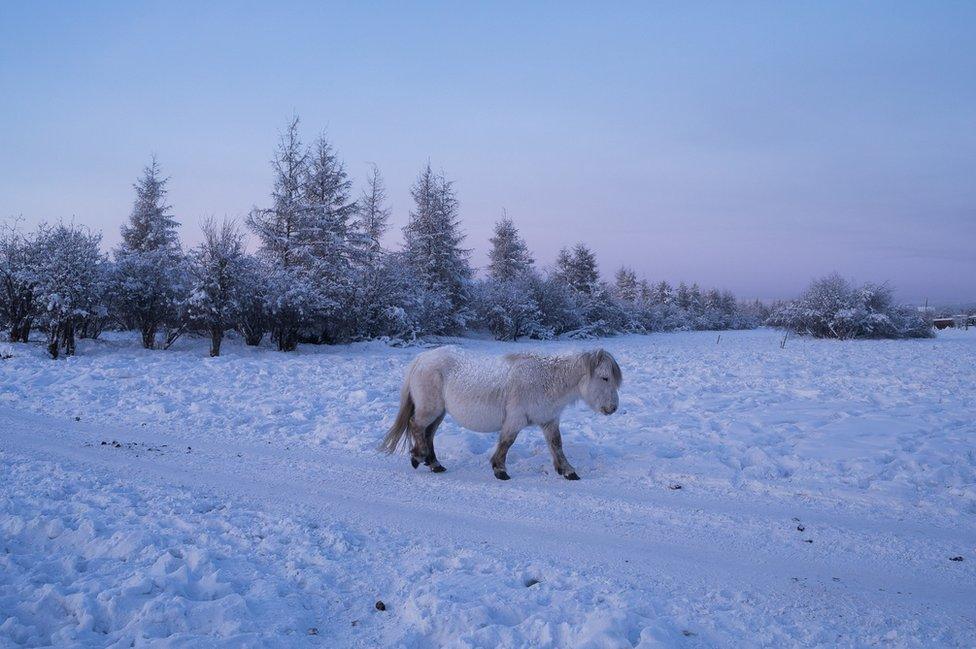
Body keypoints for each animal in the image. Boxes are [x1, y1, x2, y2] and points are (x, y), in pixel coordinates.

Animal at [378, 346, 620, 478]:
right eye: (605, 378)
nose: (613, 408)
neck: (545, 380)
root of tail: (422, 359)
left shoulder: (549, 420)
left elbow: (557, 445)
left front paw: (568, 471)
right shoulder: (515, 420)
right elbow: (506, 442)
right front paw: (500, 469)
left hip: (439, 413)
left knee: (428, 434)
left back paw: (434, 463)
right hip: (430, 409)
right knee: (416, 426)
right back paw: (418, 457)